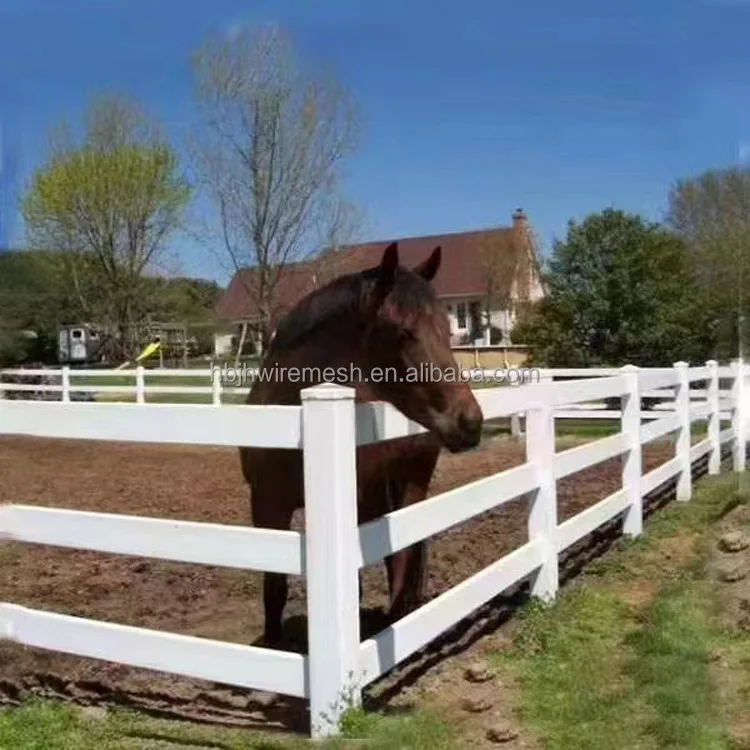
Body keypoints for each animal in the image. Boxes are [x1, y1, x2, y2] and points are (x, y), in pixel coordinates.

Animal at [239, 241, 484, 647]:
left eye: (448, 328)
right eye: (403, 332)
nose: (470, 421)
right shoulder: (266, 503)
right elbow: (273, 589)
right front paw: (273, 646)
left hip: (409, 486)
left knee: (403, 560)